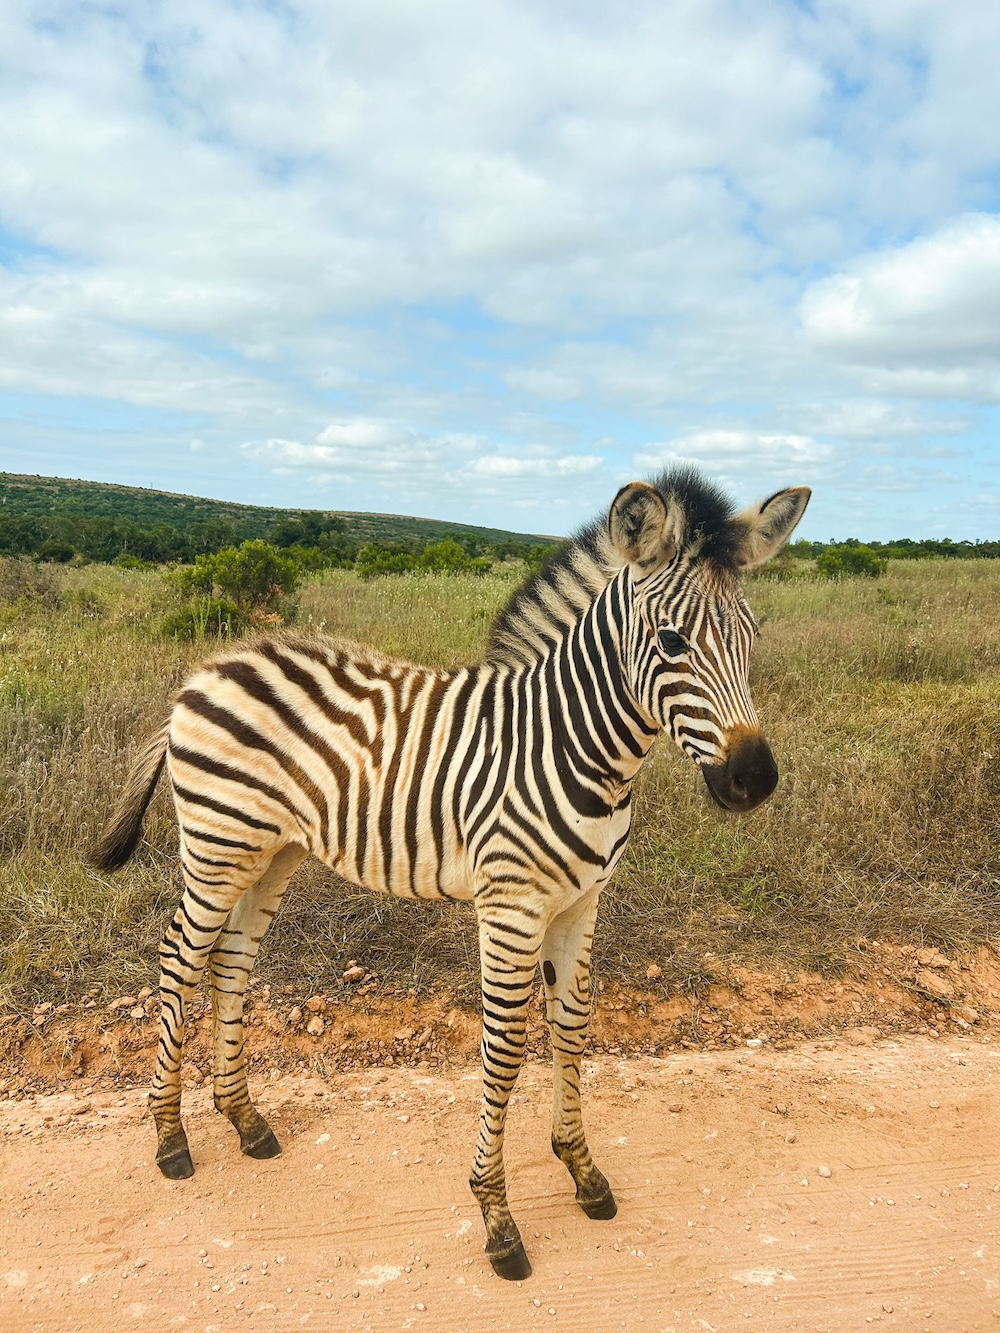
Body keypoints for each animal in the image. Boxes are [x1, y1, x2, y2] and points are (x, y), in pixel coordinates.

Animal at [92, 466, 816, 1279]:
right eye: (670, 641)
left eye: (753, 636)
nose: (754, 779)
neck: (574, 745)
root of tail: (208, 669)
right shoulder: (511, 907)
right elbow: (503, 1052)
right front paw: (498, 1218)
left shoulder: (582, 903)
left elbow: (572, 1029)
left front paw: (583, 1171)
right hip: (217, 843)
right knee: (178, 958)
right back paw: (169, 1137)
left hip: (270, 851)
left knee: (231, 963)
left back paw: (245, 1120)